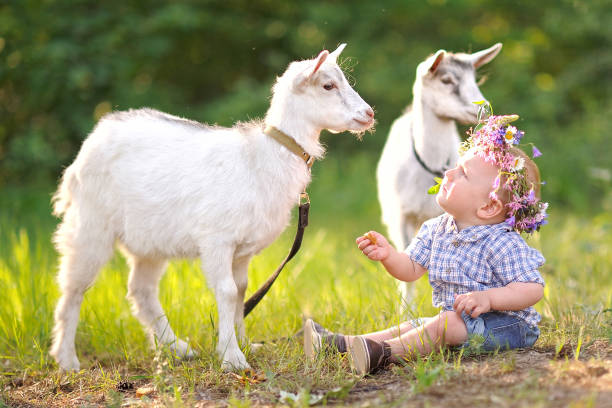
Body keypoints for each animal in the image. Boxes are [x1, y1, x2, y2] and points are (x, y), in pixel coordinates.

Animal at [50, 43, 372, 372]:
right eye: (328, 85)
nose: (369, 114)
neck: (260, 157)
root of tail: (94, 138)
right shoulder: (217, 239)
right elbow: (227, 292)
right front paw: (232, 357)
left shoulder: (242, 249)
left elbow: (241, 289)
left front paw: (245, 343)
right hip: (90, 223)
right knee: (73, 288)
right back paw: (67, 359)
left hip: (149, 239)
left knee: (141, 290)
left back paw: (177, 348)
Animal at [378, 43, 502, 306]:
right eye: (446, 80)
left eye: (474, 78)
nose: (484, 109)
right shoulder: (401, 216)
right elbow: (408, 270)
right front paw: (406, 309)